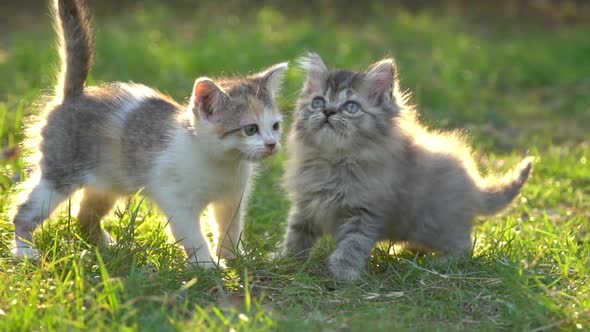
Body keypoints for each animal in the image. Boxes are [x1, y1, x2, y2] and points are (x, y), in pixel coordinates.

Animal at [8, 0, 286, 266]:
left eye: (275, 126)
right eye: (250, 129)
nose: (272, 144)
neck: (222, 164)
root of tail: (74, 95)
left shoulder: (232, 198)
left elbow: (230, 227)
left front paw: (234, 256)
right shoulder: (176, 199)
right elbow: (192, 235)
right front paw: (207, 265)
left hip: (107, 182)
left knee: (84, 214)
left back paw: (108, 247)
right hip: (60, 172)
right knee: (23, 210)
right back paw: (25, 250)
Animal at [284, 53, 536, 282]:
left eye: (351, 107)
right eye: (317, 102)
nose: (327, 112)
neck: (334, 162)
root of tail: (475, 186)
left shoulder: (366, 212)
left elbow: (353, 244)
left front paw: (344, 273)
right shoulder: (307, 204)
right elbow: (296, 233)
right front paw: (285, 261)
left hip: (436, 224)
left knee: (464, 247)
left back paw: (441, 263)